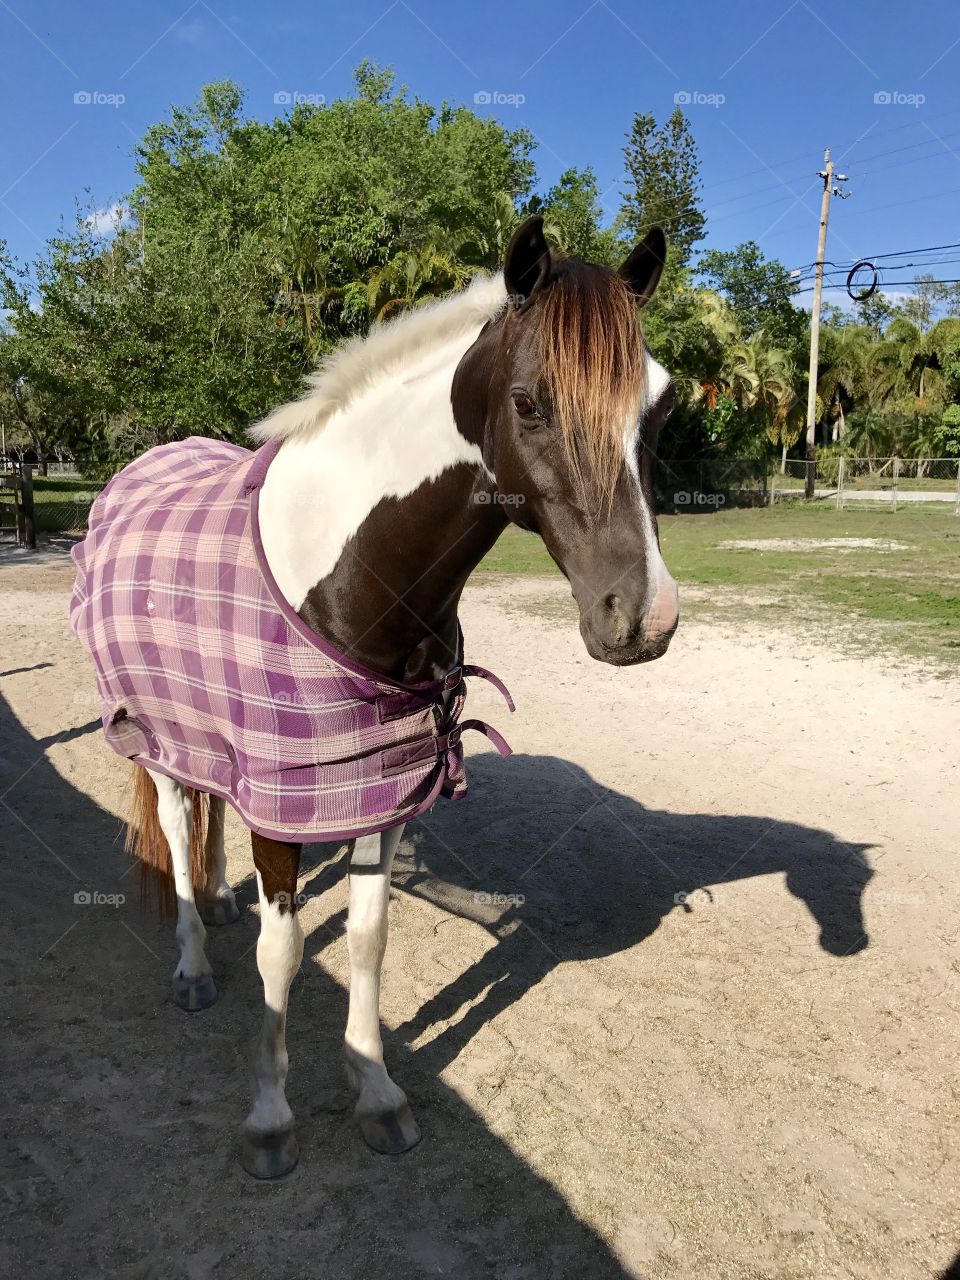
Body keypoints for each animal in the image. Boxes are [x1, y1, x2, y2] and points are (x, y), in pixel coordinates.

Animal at [70, 216, 679, 1178]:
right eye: (530, 402)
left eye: (660, 405)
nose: (644, 616)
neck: (349, 573)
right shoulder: (286, 804)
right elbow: (283, 955)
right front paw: (270, 1116)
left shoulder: (377, 791)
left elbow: (366, 937)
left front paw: (377, 1091)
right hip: (152, 734)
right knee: (173, 820)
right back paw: (194, 964)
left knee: (209, 814)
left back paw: (217, 899)